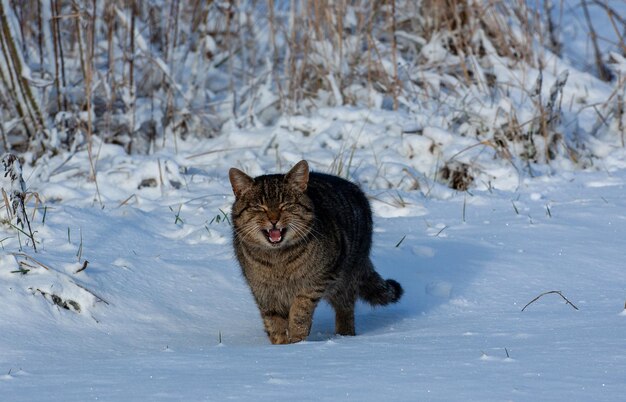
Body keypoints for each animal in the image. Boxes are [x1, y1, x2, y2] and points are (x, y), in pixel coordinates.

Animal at [228, 159, 400, 344]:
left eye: (286, 204)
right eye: (259, 207)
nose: (274, 220)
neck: (278, 261)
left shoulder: (318, 279)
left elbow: (300, 310)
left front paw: (298, 341)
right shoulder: (263, 292)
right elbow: (274, 322)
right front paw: (281, 346)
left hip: (346, 278)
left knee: (345, 309)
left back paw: (344, 336)